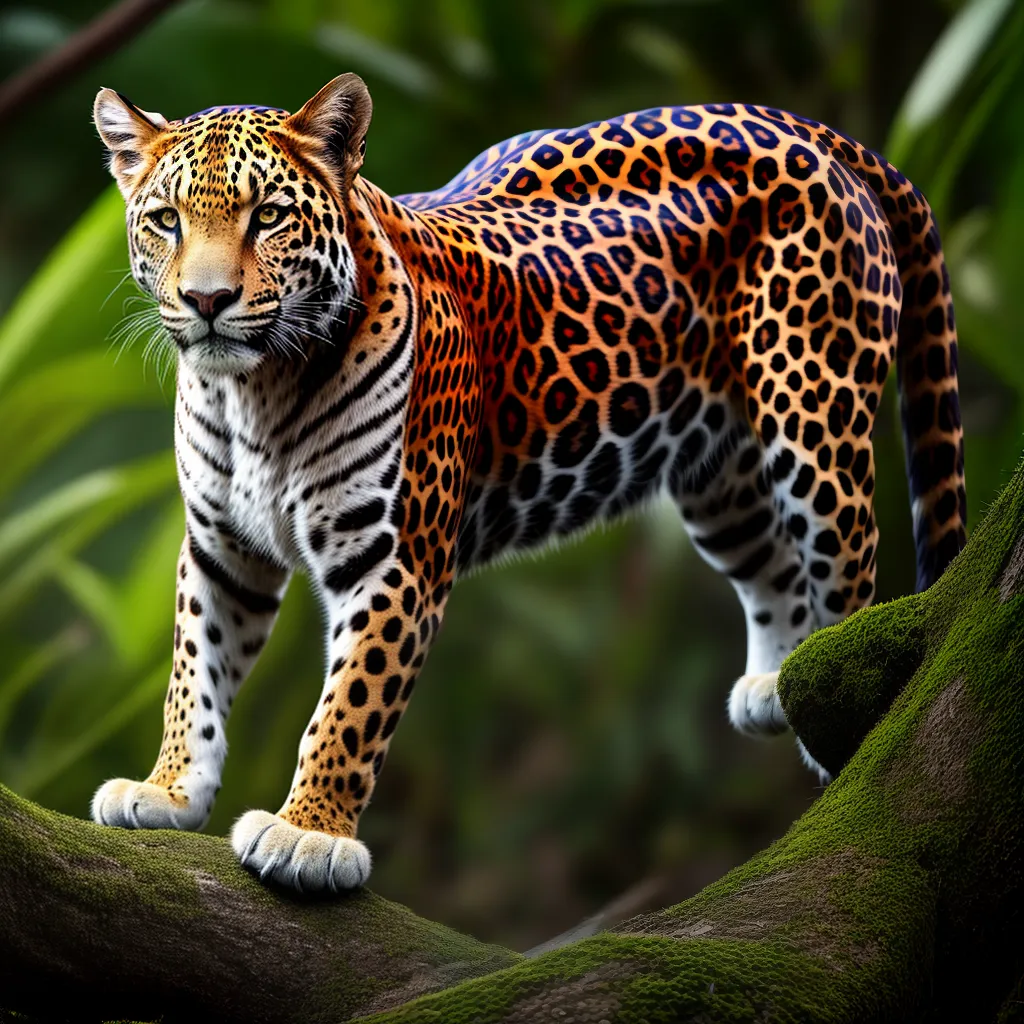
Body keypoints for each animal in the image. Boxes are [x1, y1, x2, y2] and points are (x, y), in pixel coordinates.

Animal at [90, 73, 966, 892]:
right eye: (166, 220)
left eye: (268, 215)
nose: (206, 300)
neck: (254, 395)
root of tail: (802, 126)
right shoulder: (220, 549)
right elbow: (192, 673)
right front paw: (169, 790)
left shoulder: (394, 559)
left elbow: (350, 705)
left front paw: (309, 831)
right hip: (717, 474)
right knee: (774, 565)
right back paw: (774, 684)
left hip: (813, 419)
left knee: (849, 568)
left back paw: (834, 734)